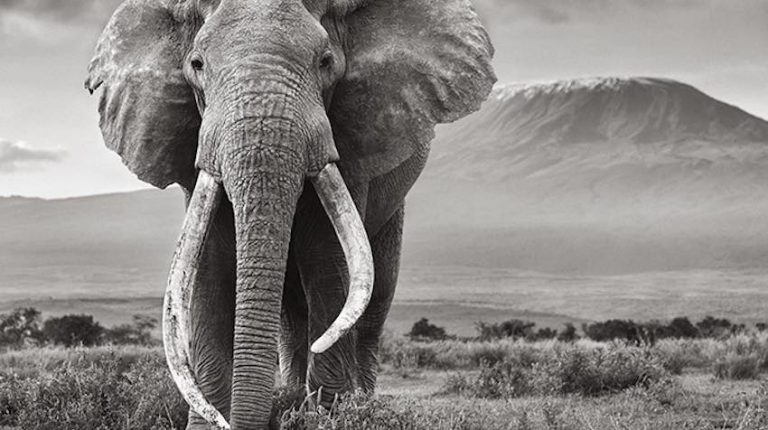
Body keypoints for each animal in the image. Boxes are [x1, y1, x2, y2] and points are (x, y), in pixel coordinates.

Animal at [85, 0, 495, 428]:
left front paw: (327, 416)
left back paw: (358, 402)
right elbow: (208, 267)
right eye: (196, 64)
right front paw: (212, 420)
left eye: (325, 61)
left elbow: (327, 260)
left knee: (376, 295)